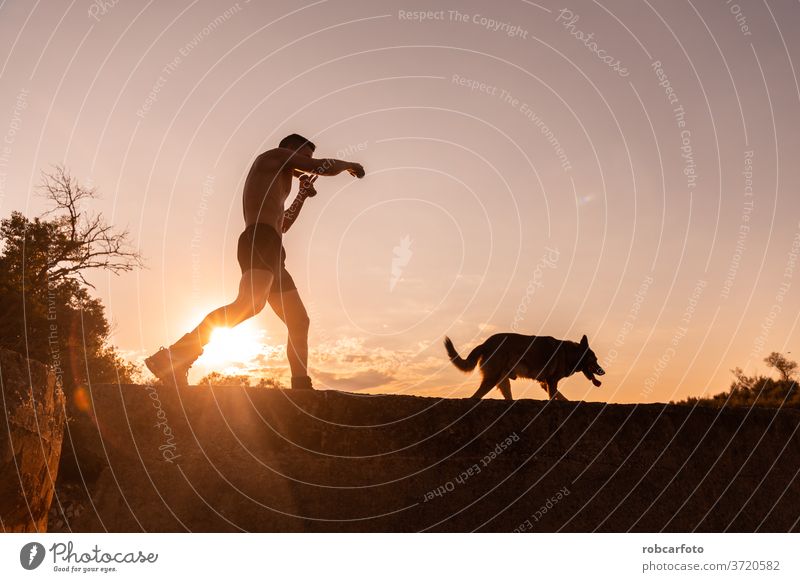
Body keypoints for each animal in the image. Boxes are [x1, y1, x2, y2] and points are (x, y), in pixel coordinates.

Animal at [444, 334, 608, 402]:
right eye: (595, 360)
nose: (603, 372)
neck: (569, 353)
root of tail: (484, 344)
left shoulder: (544, 383)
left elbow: (560, 396)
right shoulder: (551, 381)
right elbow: (554, 396)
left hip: (503, 381)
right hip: (491, 378)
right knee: (474, 397)